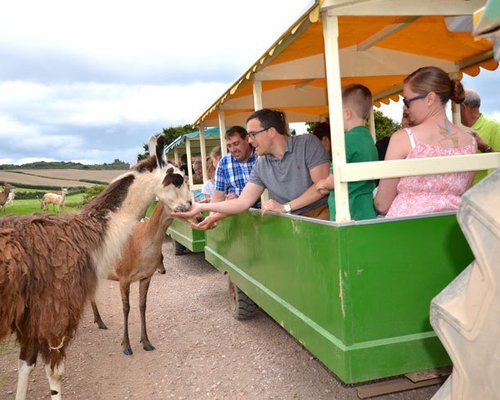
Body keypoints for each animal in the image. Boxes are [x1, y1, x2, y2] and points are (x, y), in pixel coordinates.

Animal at [91, 202, 174, 354]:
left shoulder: (146, 276)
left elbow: (142, 305)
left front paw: (146, 342)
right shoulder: (123, 276)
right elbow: (126, 308)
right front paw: (126, 346)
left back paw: (100, 322)